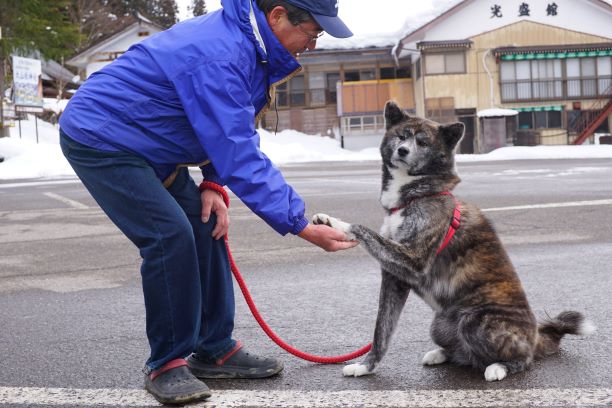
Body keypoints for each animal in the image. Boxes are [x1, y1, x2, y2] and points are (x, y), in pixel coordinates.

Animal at [314, 100, 596, 380]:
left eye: (423, 142)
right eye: (402, 136)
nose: (403, 151)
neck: (416, 196)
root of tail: (535, 336)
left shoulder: (414, 261)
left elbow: (363, 229)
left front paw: (338, 225)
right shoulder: (394, 277)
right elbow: (381, 331)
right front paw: (365, 366)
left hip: (475, 321)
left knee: (521, 358)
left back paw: (500, 367)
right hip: (439, 323)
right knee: (464, 353)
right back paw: (441, 354)